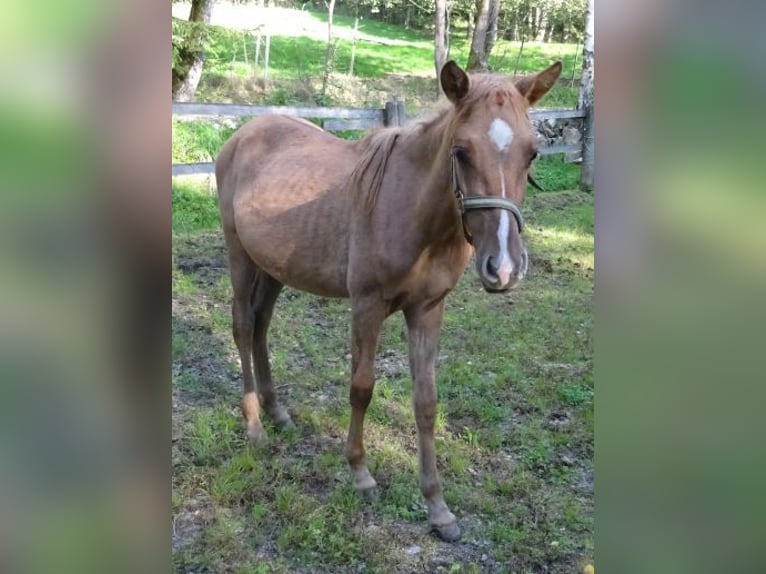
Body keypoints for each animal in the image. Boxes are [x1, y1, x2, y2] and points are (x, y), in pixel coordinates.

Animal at [215, 60, 562, 541]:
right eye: (461, 151)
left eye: (532, 153)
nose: (504, 267)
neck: (414, 212)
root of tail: (242, 134)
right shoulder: (367, 306)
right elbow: (361, 388)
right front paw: (360, 473)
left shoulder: (428, 310)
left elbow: (426, 401)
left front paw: (438, 507)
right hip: (240, 256)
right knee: (244, 326)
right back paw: (253, 425)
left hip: (275, 268)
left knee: (262, 323)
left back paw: (277, 411)